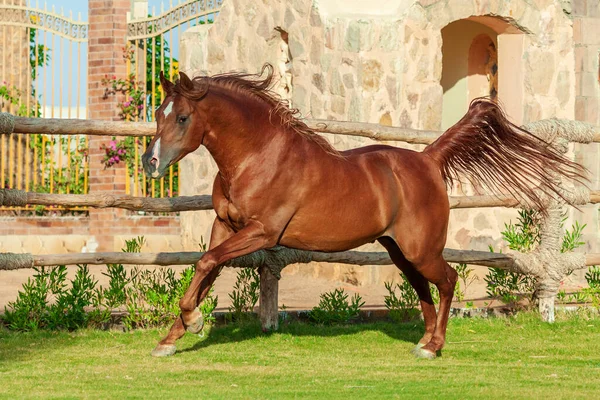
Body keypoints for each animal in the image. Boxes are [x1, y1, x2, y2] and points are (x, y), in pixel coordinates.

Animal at [142, 65, 584, 360]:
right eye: (158, 113)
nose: (150, 163)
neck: (259, 157)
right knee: (423, 288)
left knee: (447, 280)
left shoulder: (262, 232)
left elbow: (206, 264)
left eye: (182, 117)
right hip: (399, 251)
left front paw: (192, 323)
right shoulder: (224, 226)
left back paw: (435, 346)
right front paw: (170, 339)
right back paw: (422, 341)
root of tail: (428, 159)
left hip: (421, 249)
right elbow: (205, 268)